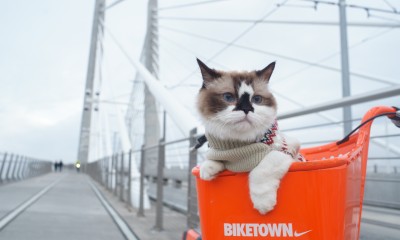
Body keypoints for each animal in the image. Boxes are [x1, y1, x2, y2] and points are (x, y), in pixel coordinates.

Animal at [195, 59, 304, 215]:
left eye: (257, 99)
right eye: (228, 97)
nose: (247, 109)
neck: (239, 145)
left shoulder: (287, 150)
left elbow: (262, 169)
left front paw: (263, 204)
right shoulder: (222, 152)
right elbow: (213, 158)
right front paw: (207, 170)